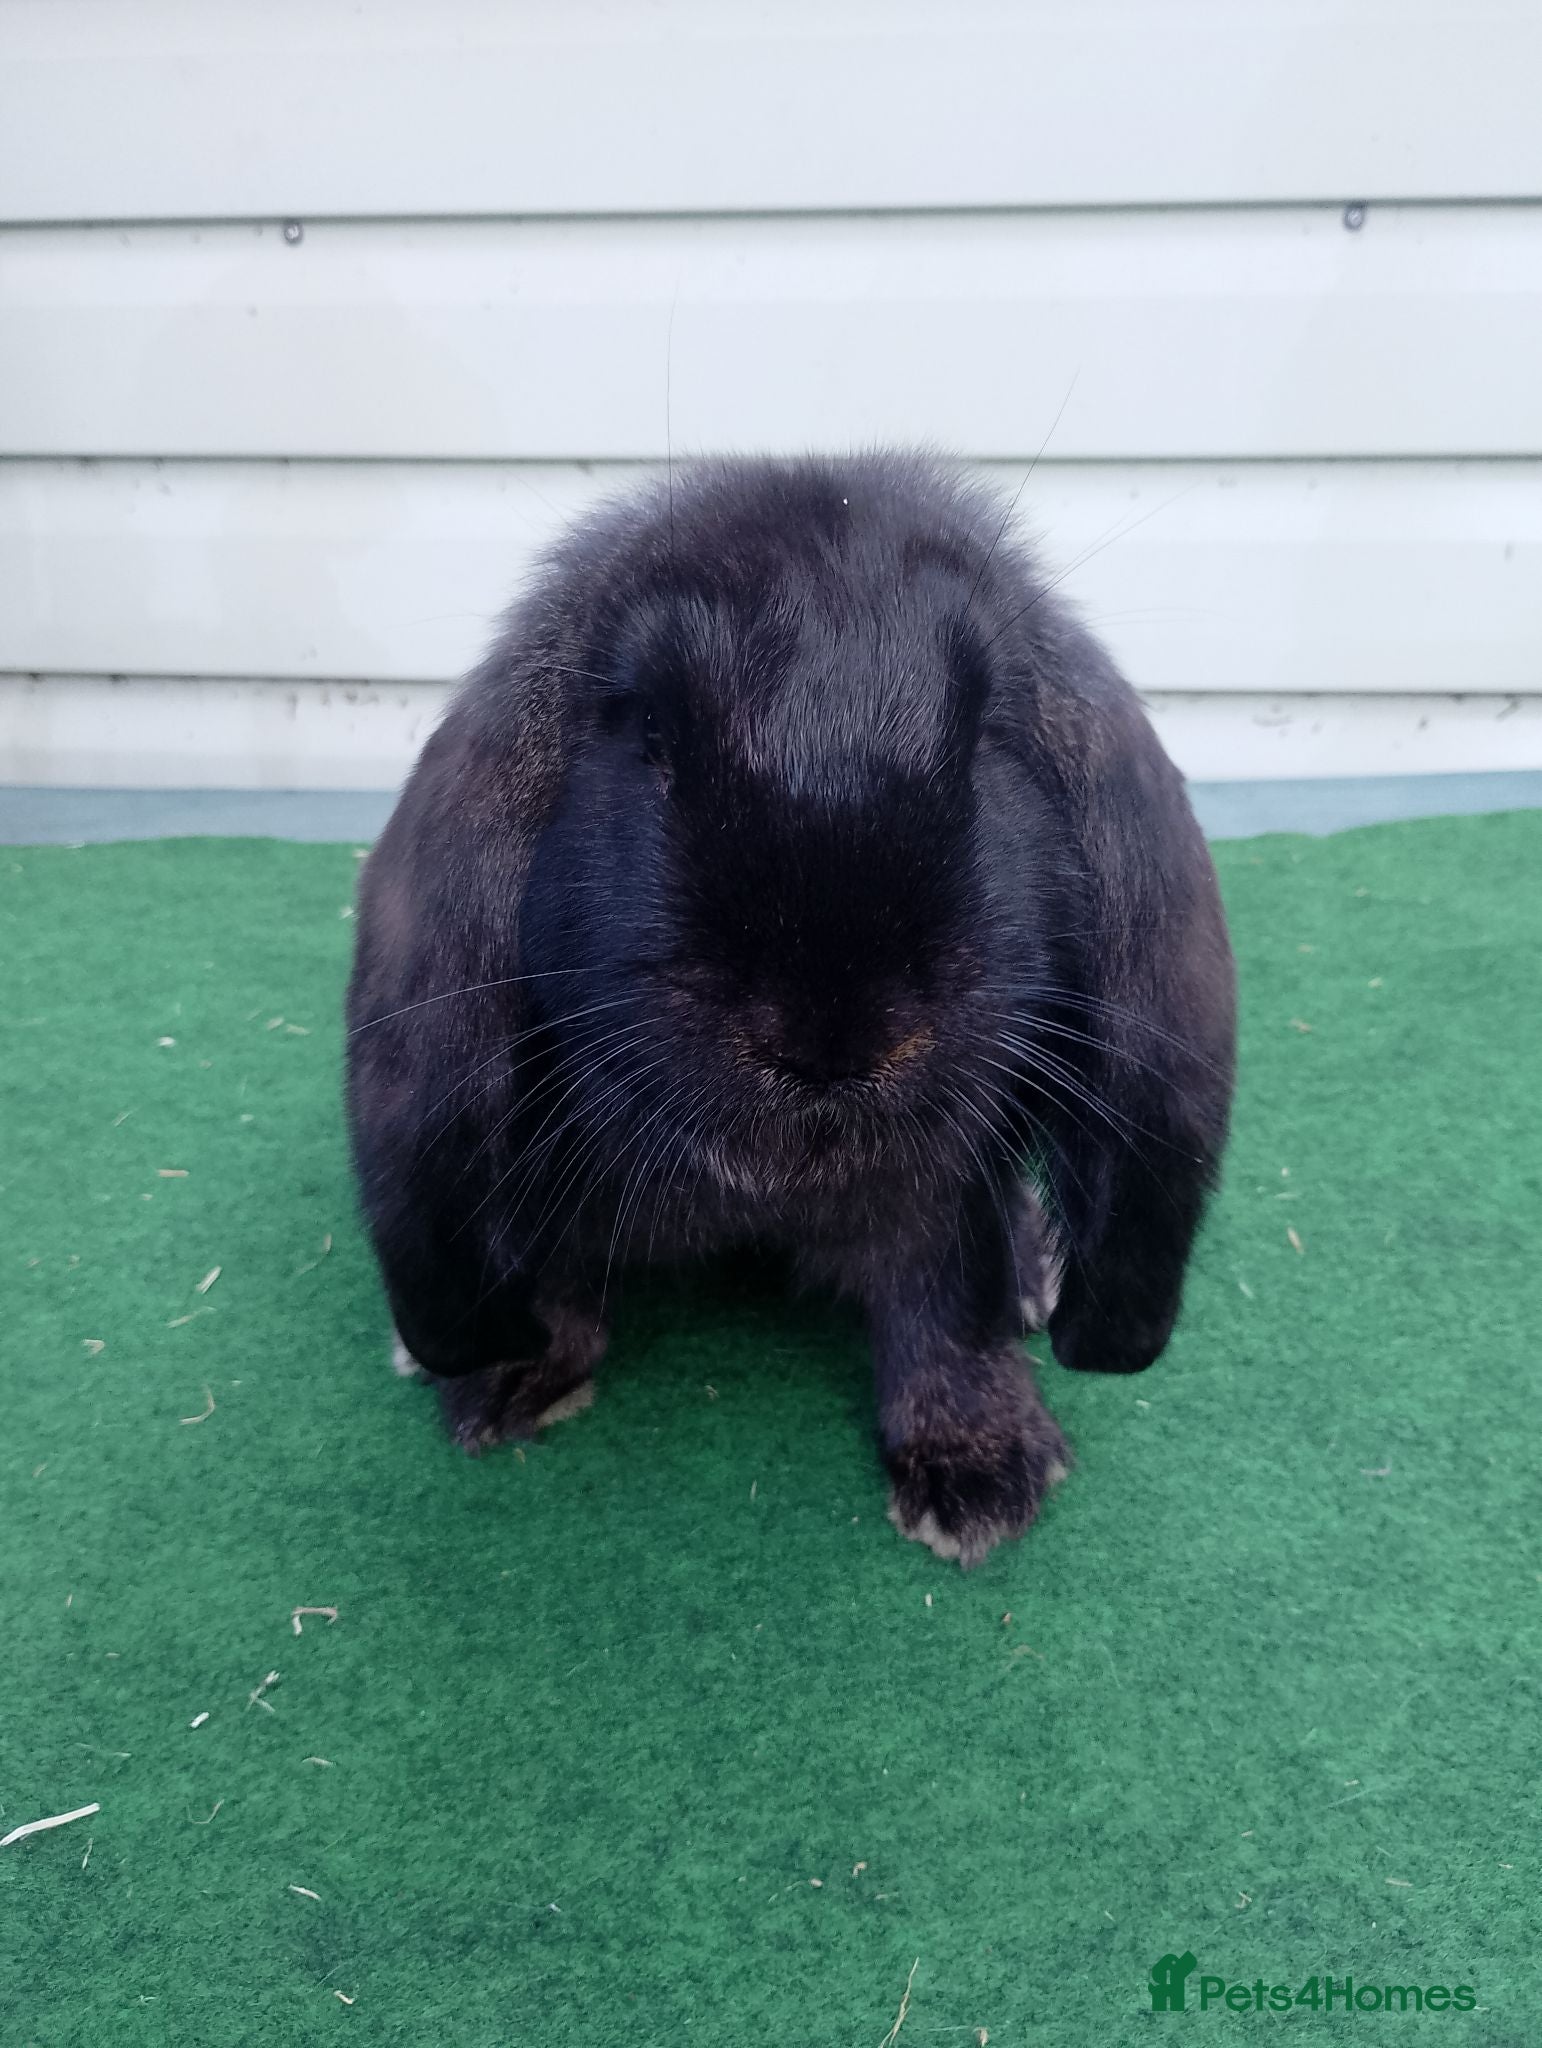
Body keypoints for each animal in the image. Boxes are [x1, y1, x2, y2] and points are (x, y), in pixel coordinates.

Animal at [345, 452, 1236, 1565]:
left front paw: (981, 1475)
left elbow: (948, 1313)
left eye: (988, 734)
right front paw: (504, 1382)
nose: (834, 1031)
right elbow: (553, 1281)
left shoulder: (945, 1193)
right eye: (649, 726)